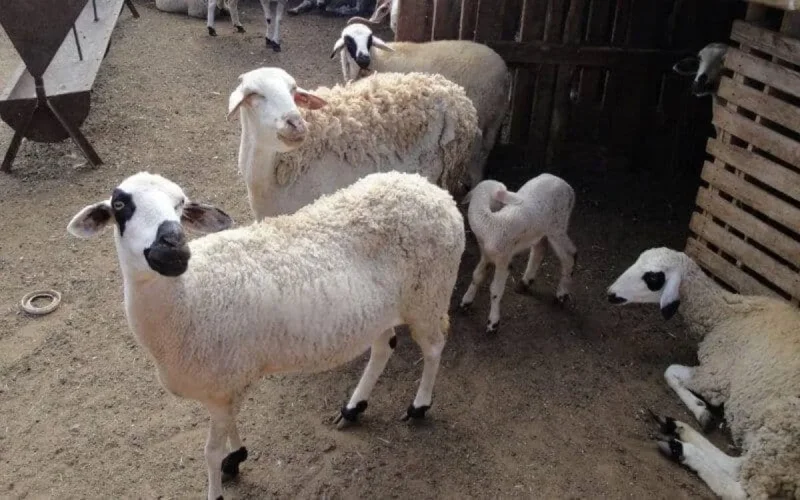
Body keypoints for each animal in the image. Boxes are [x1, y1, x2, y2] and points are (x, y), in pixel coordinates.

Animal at [66, 170, 465, 500]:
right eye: (121, 205)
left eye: (180, 204)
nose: (174, 250)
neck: (189, 297)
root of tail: (430, 190)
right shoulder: (226, 384)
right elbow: (229, 429)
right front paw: (237, 456)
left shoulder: (222, 383)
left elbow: (210, 451)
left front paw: (219, 483)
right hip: (380, 310)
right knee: (384, 347)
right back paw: (353, 408)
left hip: (429, 292)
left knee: (433, 347)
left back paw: (419, 406)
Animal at [330, 23, 511, 188]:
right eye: (348, 40)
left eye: (369, 39)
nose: (363, 59)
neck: (378, 58)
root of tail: (504, 69)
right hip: (494, 116)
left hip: (483, 109)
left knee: (479, 150)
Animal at [458, 174, 577, 334]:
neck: (490, 223)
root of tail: (566, 185)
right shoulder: (486, 254)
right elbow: (476, 276)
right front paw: (466, 301)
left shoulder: (504, 259)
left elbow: (495, 290)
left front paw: (493, 323)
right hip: (539, 229)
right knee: (540, 249)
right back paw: (525, 282)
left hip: (557, 226)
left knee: (570, 255)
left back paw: (561, 295)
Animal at [607, 247, 800, 499]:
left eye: (653, 277)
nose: (610, 294)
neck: (728, 314)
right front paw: (701, 414)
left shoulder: (716, 376)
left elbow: (670, 372)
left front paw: (701, 410)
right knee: (736, 465)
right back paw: (678, 428)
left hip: (783, 431)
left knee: (744, 490)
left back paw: (682, 449)